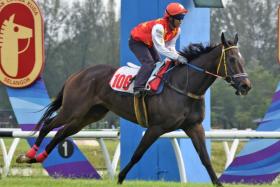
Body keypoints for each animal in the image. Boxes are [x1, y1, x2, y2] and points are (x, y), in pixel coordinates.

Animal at [15, 32, 252, 186]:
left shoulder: (194, 127)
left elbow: (205, 158)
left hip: (89, 116)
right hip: (73, 109)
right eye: (232, 59)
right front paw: (120, 177)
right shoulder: (157, 127)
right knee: (49, 125)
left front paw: (218, 183)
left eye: (242, 58)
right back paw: (29, 155)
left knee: (62, 133)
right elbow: (138, 154)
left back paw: (39, 157)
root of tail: (79, 73)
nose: (246, 86)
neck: (185, 86)